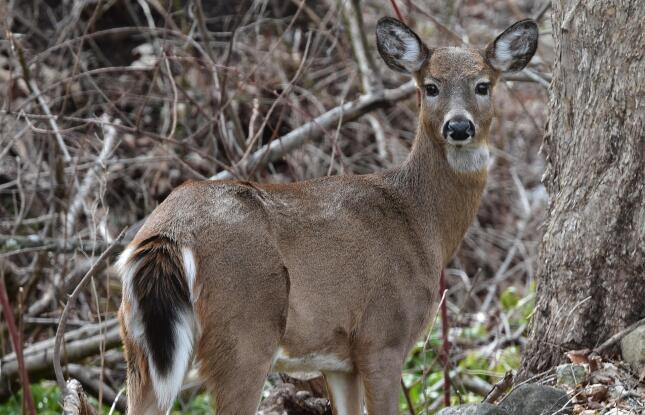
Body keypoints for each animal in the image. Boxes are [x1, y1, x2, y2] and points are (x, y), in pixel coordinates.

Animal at [117, 16, 538, 415]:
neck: (420, 221)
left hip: (138, 346)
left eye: (483, 85)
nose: (459, 126)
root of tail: (169, 233)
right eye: (431, 86)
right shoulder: (382, 336)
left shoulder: (339, 359)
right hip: (243, 333)